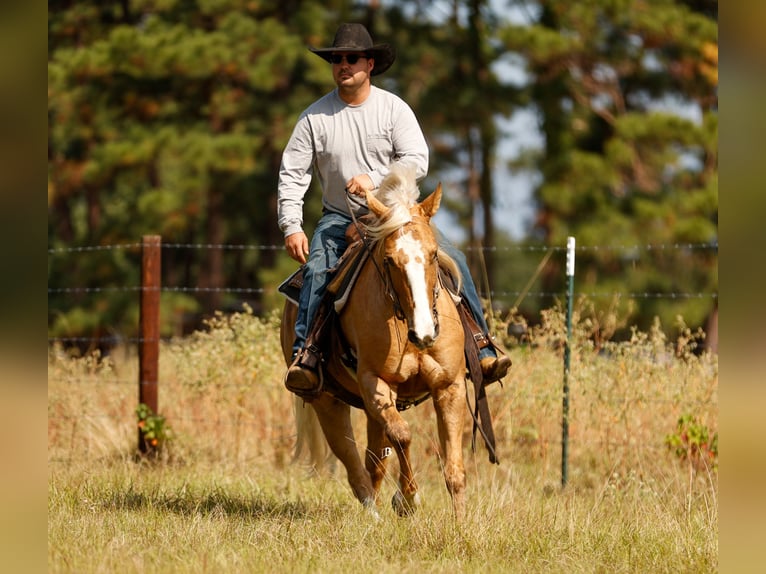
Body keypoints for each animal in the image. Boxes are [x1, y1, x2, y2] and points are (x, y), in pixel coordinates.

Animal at [280, 164, 468, 519]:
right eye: (390, 260)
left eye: (434, 254)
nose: (425, 332)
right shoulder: (375, 383)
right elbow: (403, 435)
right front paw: (407, 500)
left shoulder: (450, 386)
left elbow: (453, 466)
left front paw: (461, 520)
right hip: (328, 401)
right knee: (356, 464)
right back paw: (373, 513)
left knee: (374, 460)